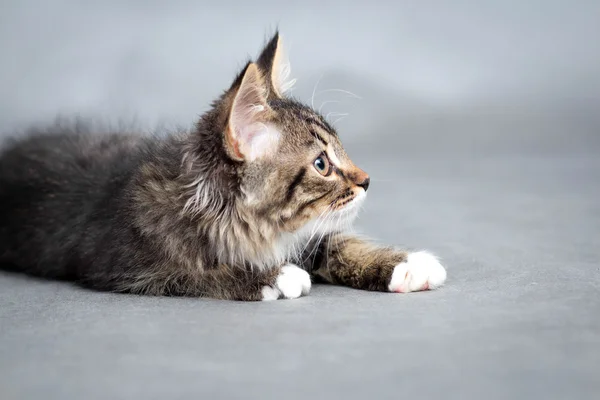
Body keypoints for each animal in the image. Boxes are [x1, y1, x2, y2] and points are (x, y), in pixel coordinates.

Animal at [0, 32, 446, 300]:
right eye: (322, 164)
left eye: (341, 150)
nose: (367, 181)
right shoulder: (128, 266)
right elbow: (193, 273)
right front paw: (273, 277)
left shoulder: (303, 236)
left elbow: (337, 242)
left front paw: (407, 265)